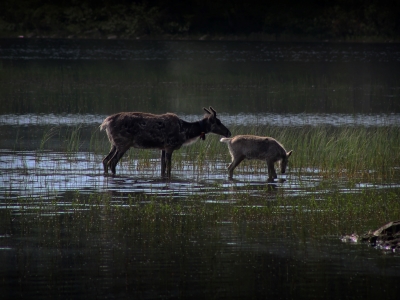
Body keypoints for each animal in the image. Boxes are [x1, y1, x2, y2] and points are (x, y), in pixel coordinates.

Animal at [100, 106, 231, 177]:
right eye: (218, 122)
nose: (229, 132)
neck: (185, 133)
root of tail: (106, 123)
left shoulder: (162, 148)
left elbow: (162, 167)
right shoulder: (169, 146)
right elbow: (169, 167)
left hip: (114, 144)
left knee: (105, 160)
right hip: (123, 144)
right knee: (112, 162)